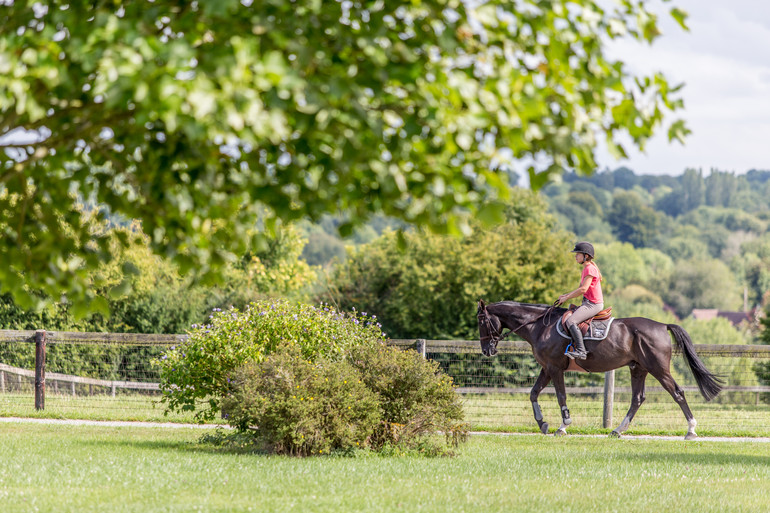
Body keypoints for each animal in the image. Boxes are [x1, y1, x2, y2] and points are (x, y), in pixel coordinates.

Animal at [474, 300, 720, 440]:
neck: (540, 326)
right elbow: (533, 393)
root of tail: (662, 325)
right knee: (637, 399)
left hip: (658, 368)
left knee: (677, 393)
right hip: (638, 369)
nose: (486, 350)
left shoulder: (555, 368)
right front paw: (542, 423)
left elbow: (561, 396)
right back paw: (617, 430)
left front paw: (562, 427)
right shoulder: (546, 368)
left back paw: (691, 430)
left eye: (481, 321)